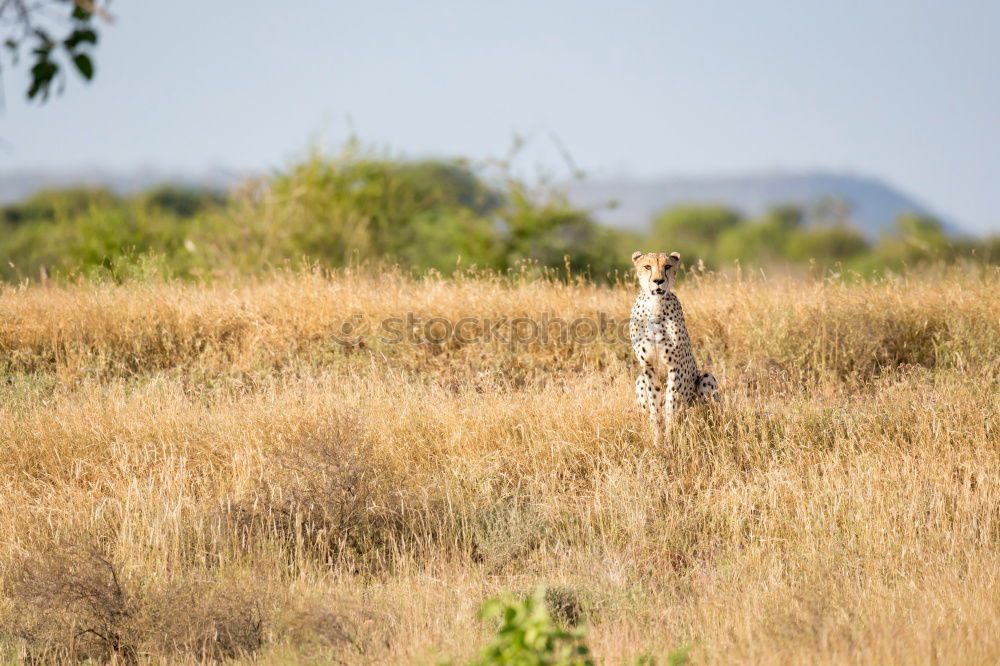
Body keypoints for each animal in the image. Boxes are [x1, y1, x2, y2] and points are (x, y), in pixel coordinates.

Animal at [628, 252, 716, 444]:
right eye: (647, 266)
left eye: (667, 266)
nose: (658, 281)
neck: (655, 305)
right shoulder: (648, 367)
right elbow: (655, 405)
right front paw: (657, 440)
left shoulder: (675, 366)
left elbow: (671, 403)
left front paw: (669, 439)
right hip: (639, 379)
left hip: (707, 379)